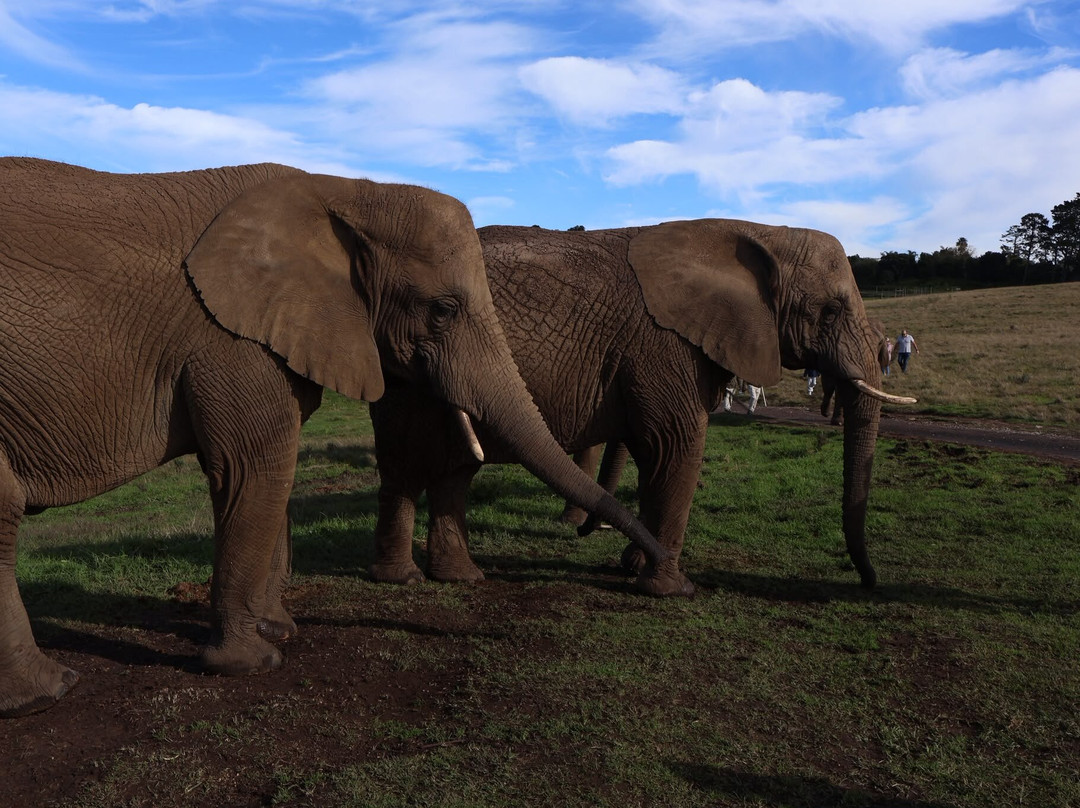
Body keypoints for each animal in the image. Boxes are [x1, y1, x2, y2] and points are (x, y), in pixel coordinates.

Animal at [0, 159, 670, 718]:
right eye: (443, 310)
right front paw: (253, 664)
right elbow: (252, 468)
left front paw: (279, 632)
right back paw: (47, 694)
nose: (656, 566)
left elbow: (269, 474)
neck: (345, 190)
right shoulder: (231, 339)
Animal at [369, 220, 915, 594]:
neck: (760, 232)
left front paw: (634, 566)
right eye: (831, 310)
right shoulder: (664, 344)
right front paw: (668, 586)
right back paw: (403, 578)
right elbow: (677, 443)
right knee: (405, 464)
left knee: (454, 470)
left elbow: (657, 452)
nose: (868, 582)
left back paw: (459, 577)